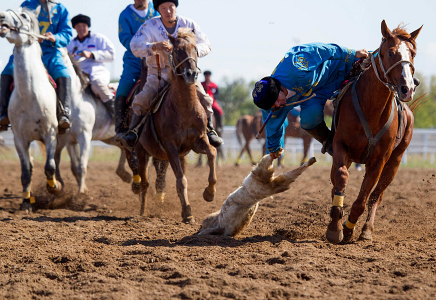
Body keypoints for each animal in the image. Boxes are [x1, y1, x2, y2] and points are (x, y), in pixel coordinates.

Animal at [0, 8, 130, 209]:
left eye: (23, 16)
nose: (1, 18)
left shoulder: (69, 135)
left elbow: (69, 167)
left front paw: (74, 193)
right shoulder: (24, 138)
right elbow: (28, 170)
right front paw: (27, 203)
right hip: (110, 138)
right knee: (124, 149)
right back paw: (126, 175)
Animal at [135, 29, 216, 223]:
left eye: (196, 49)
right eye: (177, 50)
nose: (191, 74)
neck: (184, 109)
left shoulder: (198, 140)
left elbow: (212, 153)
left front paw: (209, 193)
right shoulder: (170, 146)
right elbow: (181, 179)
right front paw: (187, 212)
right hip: (142, 152)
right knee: (145, 183)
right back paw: (142, 212)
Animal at [328, 21, 422, 246]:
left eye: (413, 53)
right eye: (390, 52)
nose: (407, 88)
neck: (371, 108)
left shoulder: (379, 160)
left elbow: (364, 198)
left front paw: (349, 227)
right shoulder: (340, 147)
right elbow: (340, 178)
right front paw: (335, 227)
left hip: (394, 162)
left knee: (376, 195)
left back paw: (366, 230)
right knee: (337, 180)